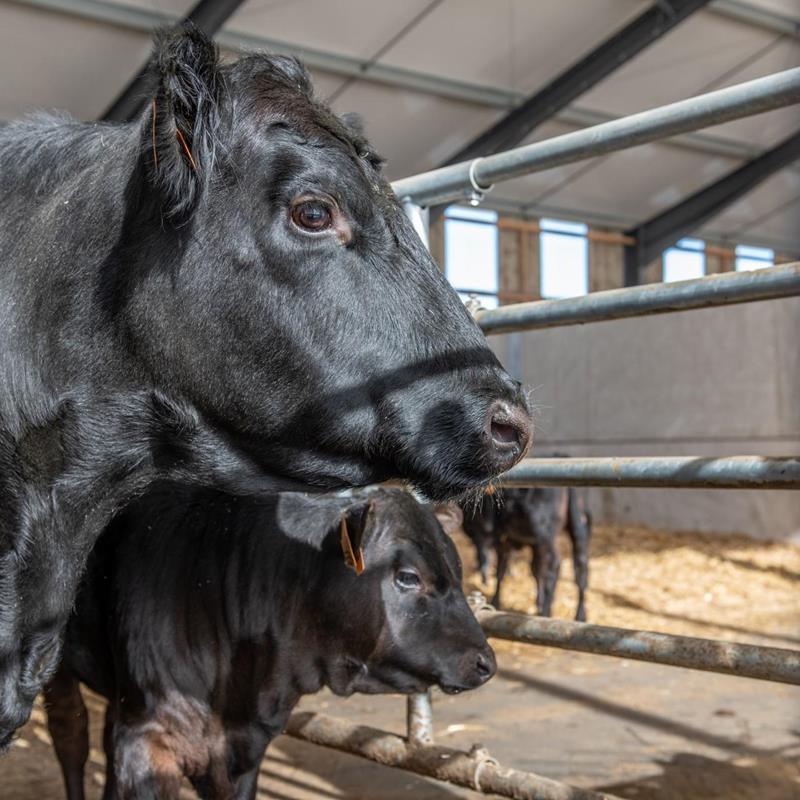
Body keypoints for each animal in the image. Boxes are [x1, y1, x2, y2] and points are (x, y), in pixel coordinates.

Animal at [45, 488, 494, 800]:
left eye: (458, 570)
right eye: (407, 576)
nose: (486, 661)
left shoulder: (245, 749)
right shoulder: (146, 741)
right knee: (70, 737)